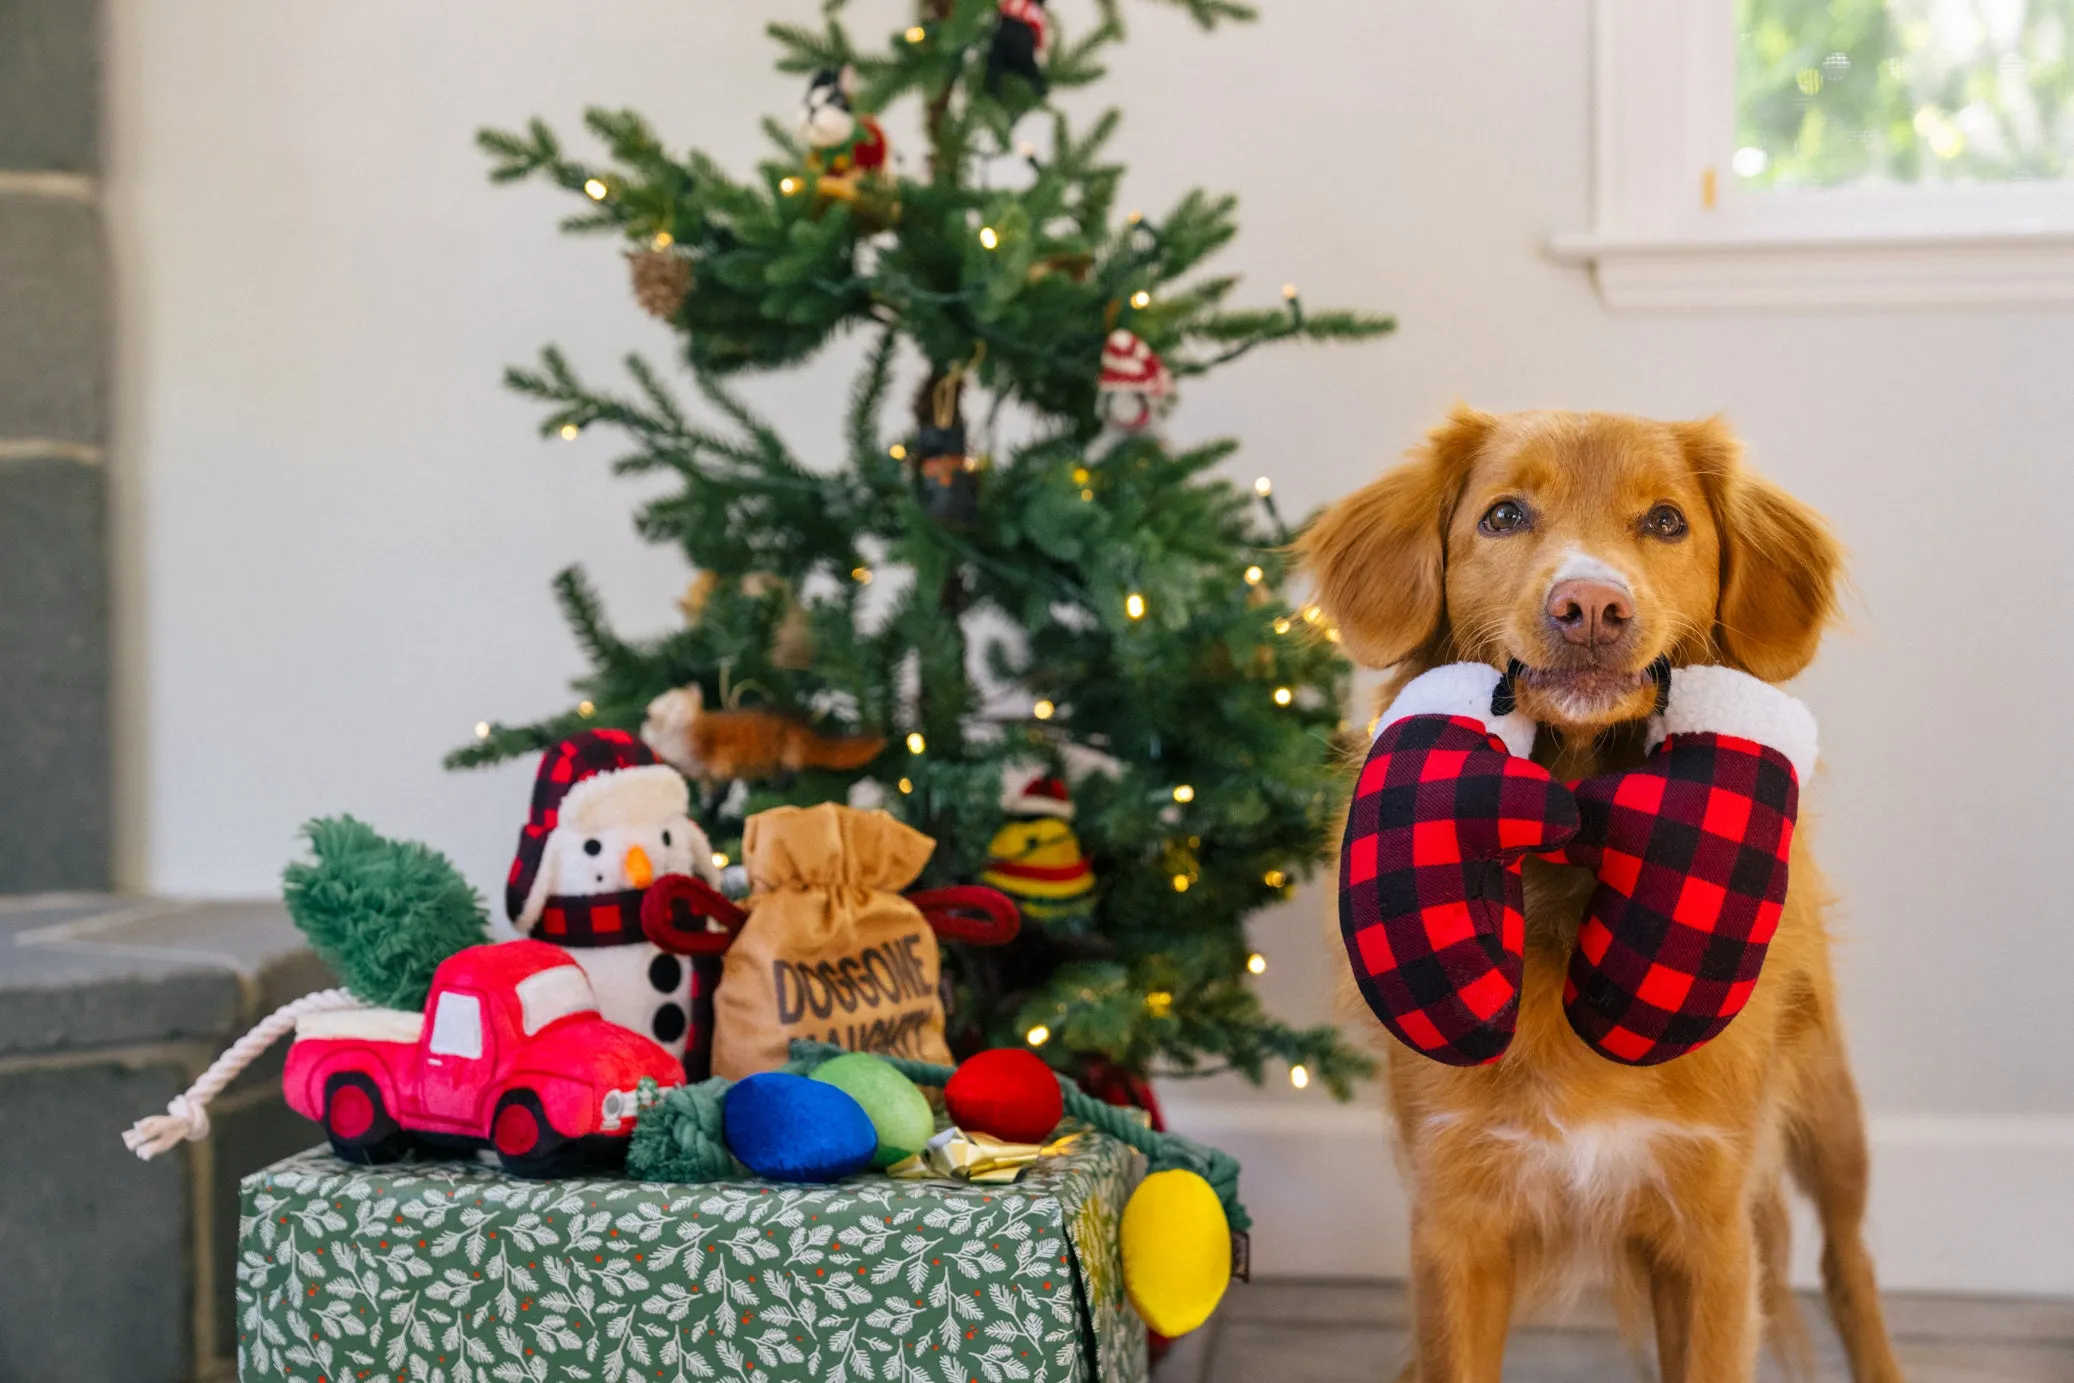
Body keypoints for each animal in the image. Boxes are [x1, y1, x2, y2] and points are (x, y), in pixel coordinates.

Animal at [1302, 408, 1899, 1383]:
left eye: (1665, 521)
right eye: (1505, 515)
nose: (1590, 607)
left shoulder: (1710, 1229)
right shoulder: (1457, 1224)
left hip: (1830, 1117)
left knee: (1852, 1264)